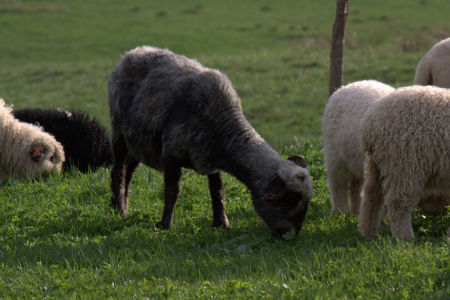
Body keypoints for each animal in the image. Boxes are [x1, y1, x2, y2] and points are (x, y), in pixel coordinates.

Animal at [108, 46, 312, 239]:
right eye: (289, 200)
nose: (290, 236)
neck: (223, 126)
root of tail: (131, 53)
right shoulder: (171, 154)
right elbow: (172, 191)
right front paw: (165, 224)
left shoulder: (210, 159)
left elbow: (218, 190)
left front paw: (222, 223)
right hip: (119, 134)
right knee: (118, 172)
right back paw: (121, 212)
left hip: (137, 144)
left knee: (128, 174)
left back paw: (115, 208)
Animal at [322, 81, 396, 214]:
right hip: (335, 157)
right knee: (337, 184)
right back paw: (340, 211)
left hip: (356, 160)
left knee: (354, 186)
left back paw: (356, 210)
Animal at [358, 85, 450, 240]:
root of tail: (369, 125)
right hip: (404, 165)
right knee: (397, 203)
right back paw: (405, 238)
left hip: (376, 164)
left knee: (371, 196)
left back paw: (368, 234)